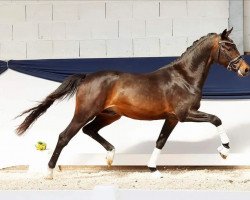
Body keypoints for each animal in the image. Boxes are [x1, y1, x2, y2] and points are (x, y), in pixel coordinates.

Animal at [16, 28, 249, 180]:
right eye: (228, 46)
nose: (245, 69)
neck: (184, 77)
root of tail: (86, 77)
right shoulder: (185, 114)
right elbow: (216, 119)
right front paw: (224, 151)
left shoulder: (172, 118)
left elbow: (160, 141)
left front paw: (153, 170)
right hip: (85, 112)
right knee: (65, 136)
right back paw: (49, 172)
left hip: (110, 114)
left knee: (89, 130)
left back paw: (110, 156)